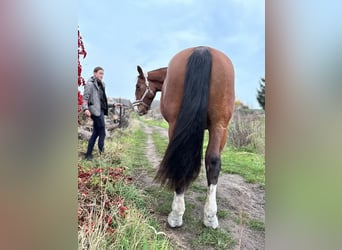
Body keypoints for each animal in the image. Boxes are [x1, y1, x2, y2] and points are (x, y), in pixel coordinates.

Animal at [132, 45, 234, 229]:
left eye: (138, 86)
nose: (138, 109)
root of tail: (202, 50)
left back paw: (176, 214)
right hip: (220, 126)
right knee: (213, 161)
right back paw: (210, 216)